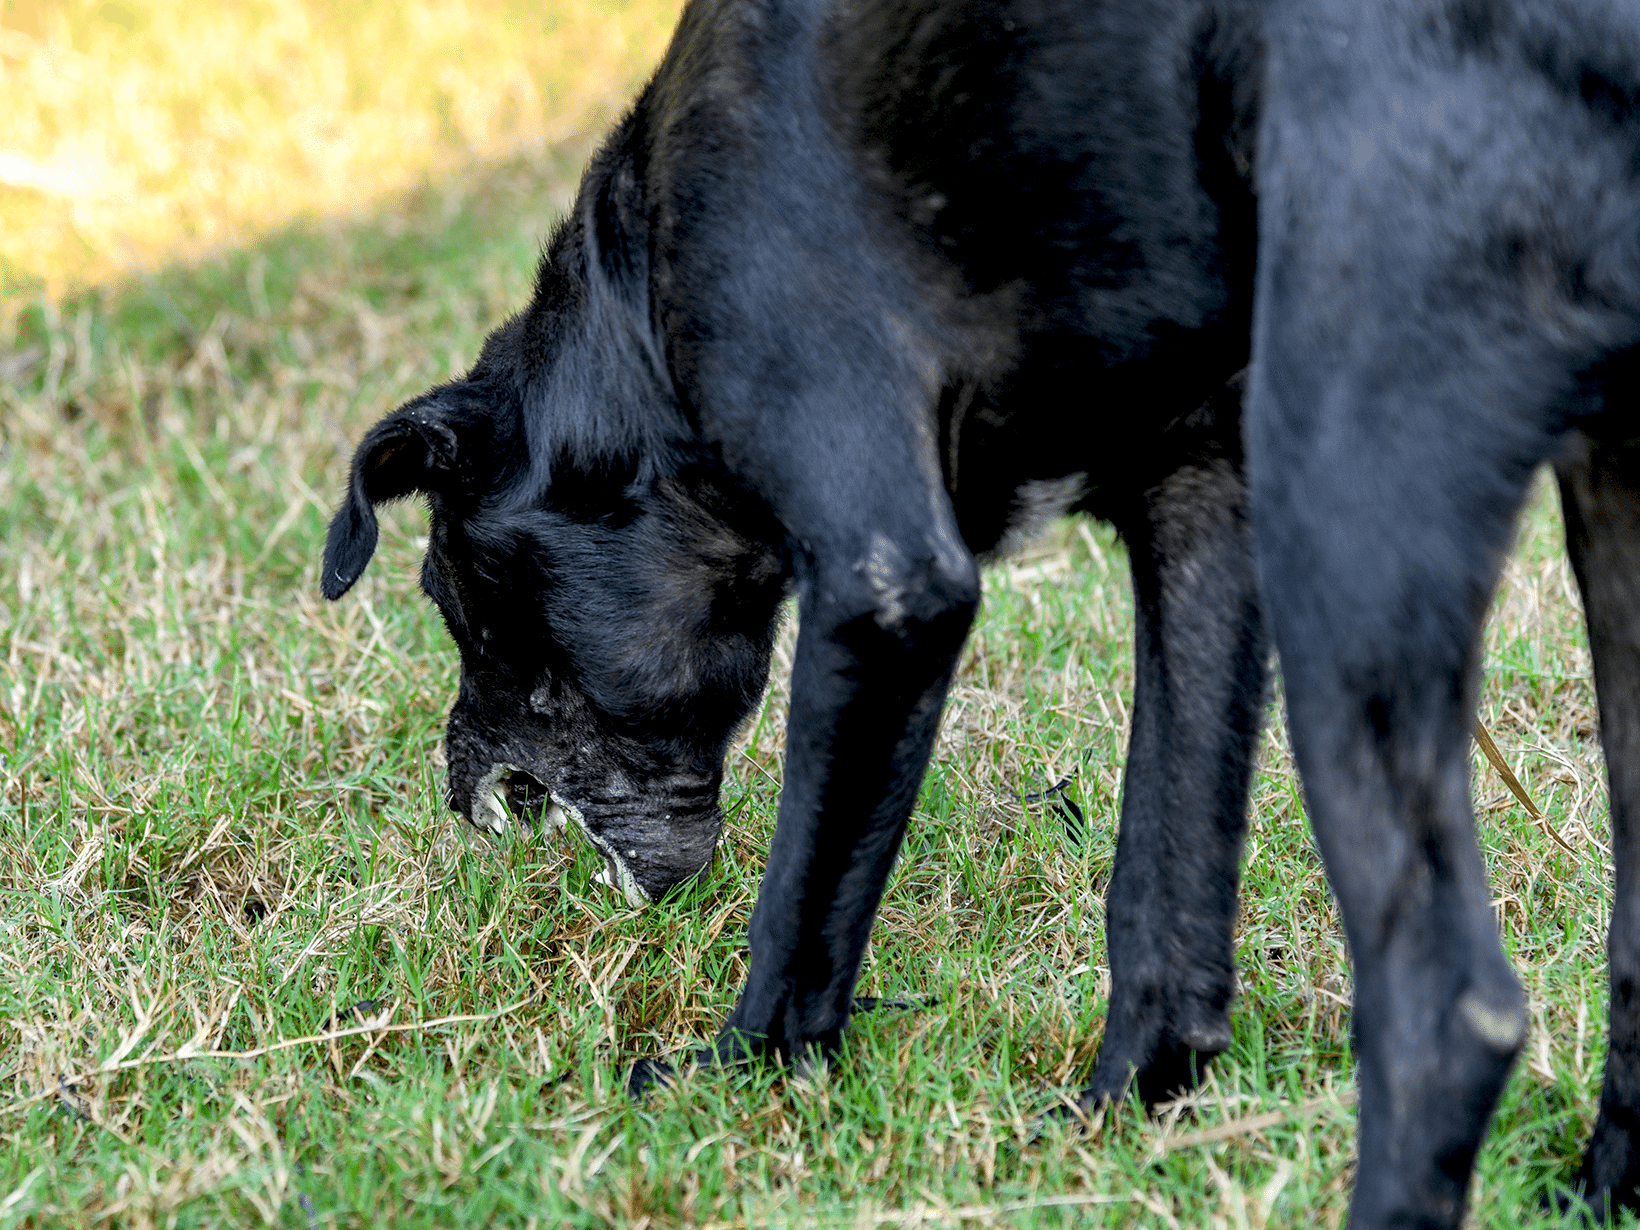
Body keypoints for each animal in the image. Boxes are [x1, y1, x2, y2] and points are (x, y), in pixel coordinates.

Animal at [326, 4, 1640, 1226]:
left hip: (1349, 499)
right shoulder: (1199, 503)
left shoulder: (887, 588)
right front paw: (1117, 1119)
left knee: (1446, 1013)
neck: (640, 308)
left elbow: (801, 914)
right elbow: (1161, 890)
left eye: (460, 605)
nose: (459, 792)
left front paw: (732, 1084)